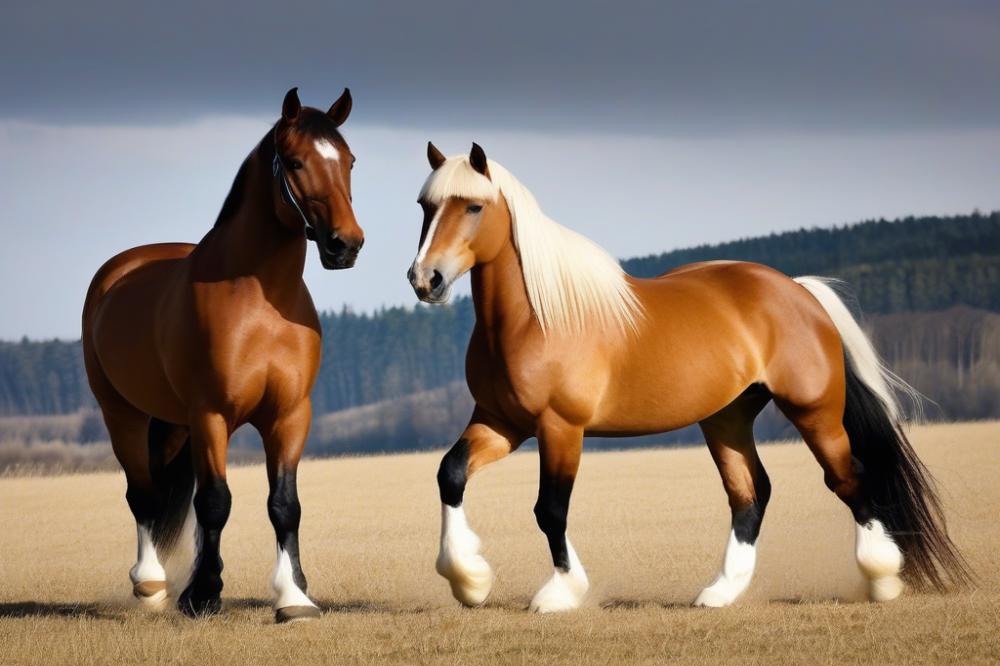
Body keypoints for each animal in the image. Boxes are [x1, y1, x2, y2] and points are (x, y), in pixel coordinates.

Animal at [82, 88, 364, 624]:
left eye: (350, 162)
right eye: (294, 162)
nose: (346, 244)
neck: (260, 300)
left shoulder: (289, 415)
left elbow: (284, 505)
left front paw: (294, 596)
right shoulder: (212, 414)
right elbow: (214, 501)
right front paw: (204, 595)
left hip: (174, 425)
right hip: (123, 414)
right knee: (143, 495)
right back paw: (150, 584)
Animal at [408, 143, 968, 608]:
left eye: (473, 206)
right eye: (425, 206)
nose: (424, 278)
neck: (538, 317)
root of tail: (798, 291)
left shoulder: (559, 427)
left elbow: (550, 509)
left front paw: (560, 593)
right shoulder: (501, 421)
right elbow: (450, 473)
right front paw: (468, 580)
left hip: (816, 413)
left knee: (848, 478)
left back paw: (882, 579)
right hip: (726, 418)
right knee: (751, 493)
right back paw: (721, 591)